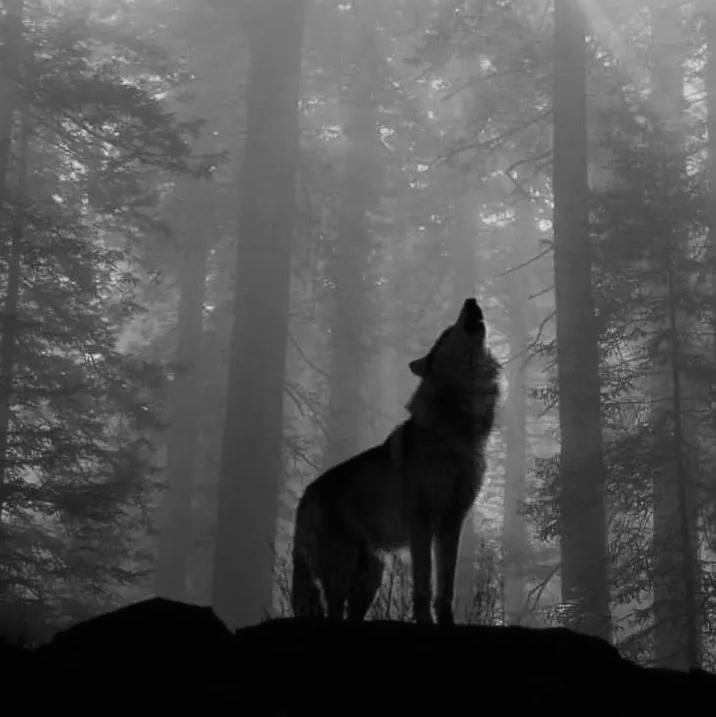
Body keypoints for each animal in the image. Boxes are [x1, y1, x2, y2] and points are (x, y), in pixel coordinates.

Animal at [291, 298, 500, 625]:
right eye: (447, 331)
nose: (471, 300)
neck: (457, 428)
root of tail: (305, 495)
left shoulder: (452, 522)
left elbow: (446, 586)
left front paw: (447, 622)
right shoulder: (421, 524)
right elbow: (424, 584)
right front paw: (425, 621)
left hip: (370, 579)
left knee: (351, 613)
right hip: (340, 571)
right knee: (334, 610)